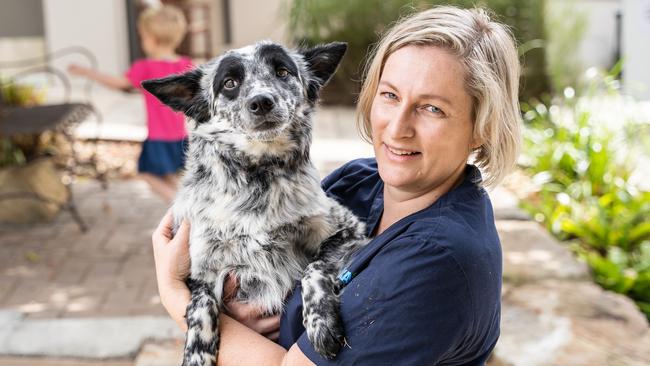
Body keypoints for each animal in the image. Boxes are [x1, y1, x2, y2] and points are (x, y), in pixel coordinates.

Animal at [140, 41, 364, 364]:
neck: (259, 177)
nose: (261, 102)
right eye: (229, 83)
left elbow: (315, 266)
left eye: (282, 72)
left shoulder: (349, 229)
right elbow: (200, 308)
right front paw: (197, 354)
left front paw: (321, 321)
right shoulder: (202, 268)